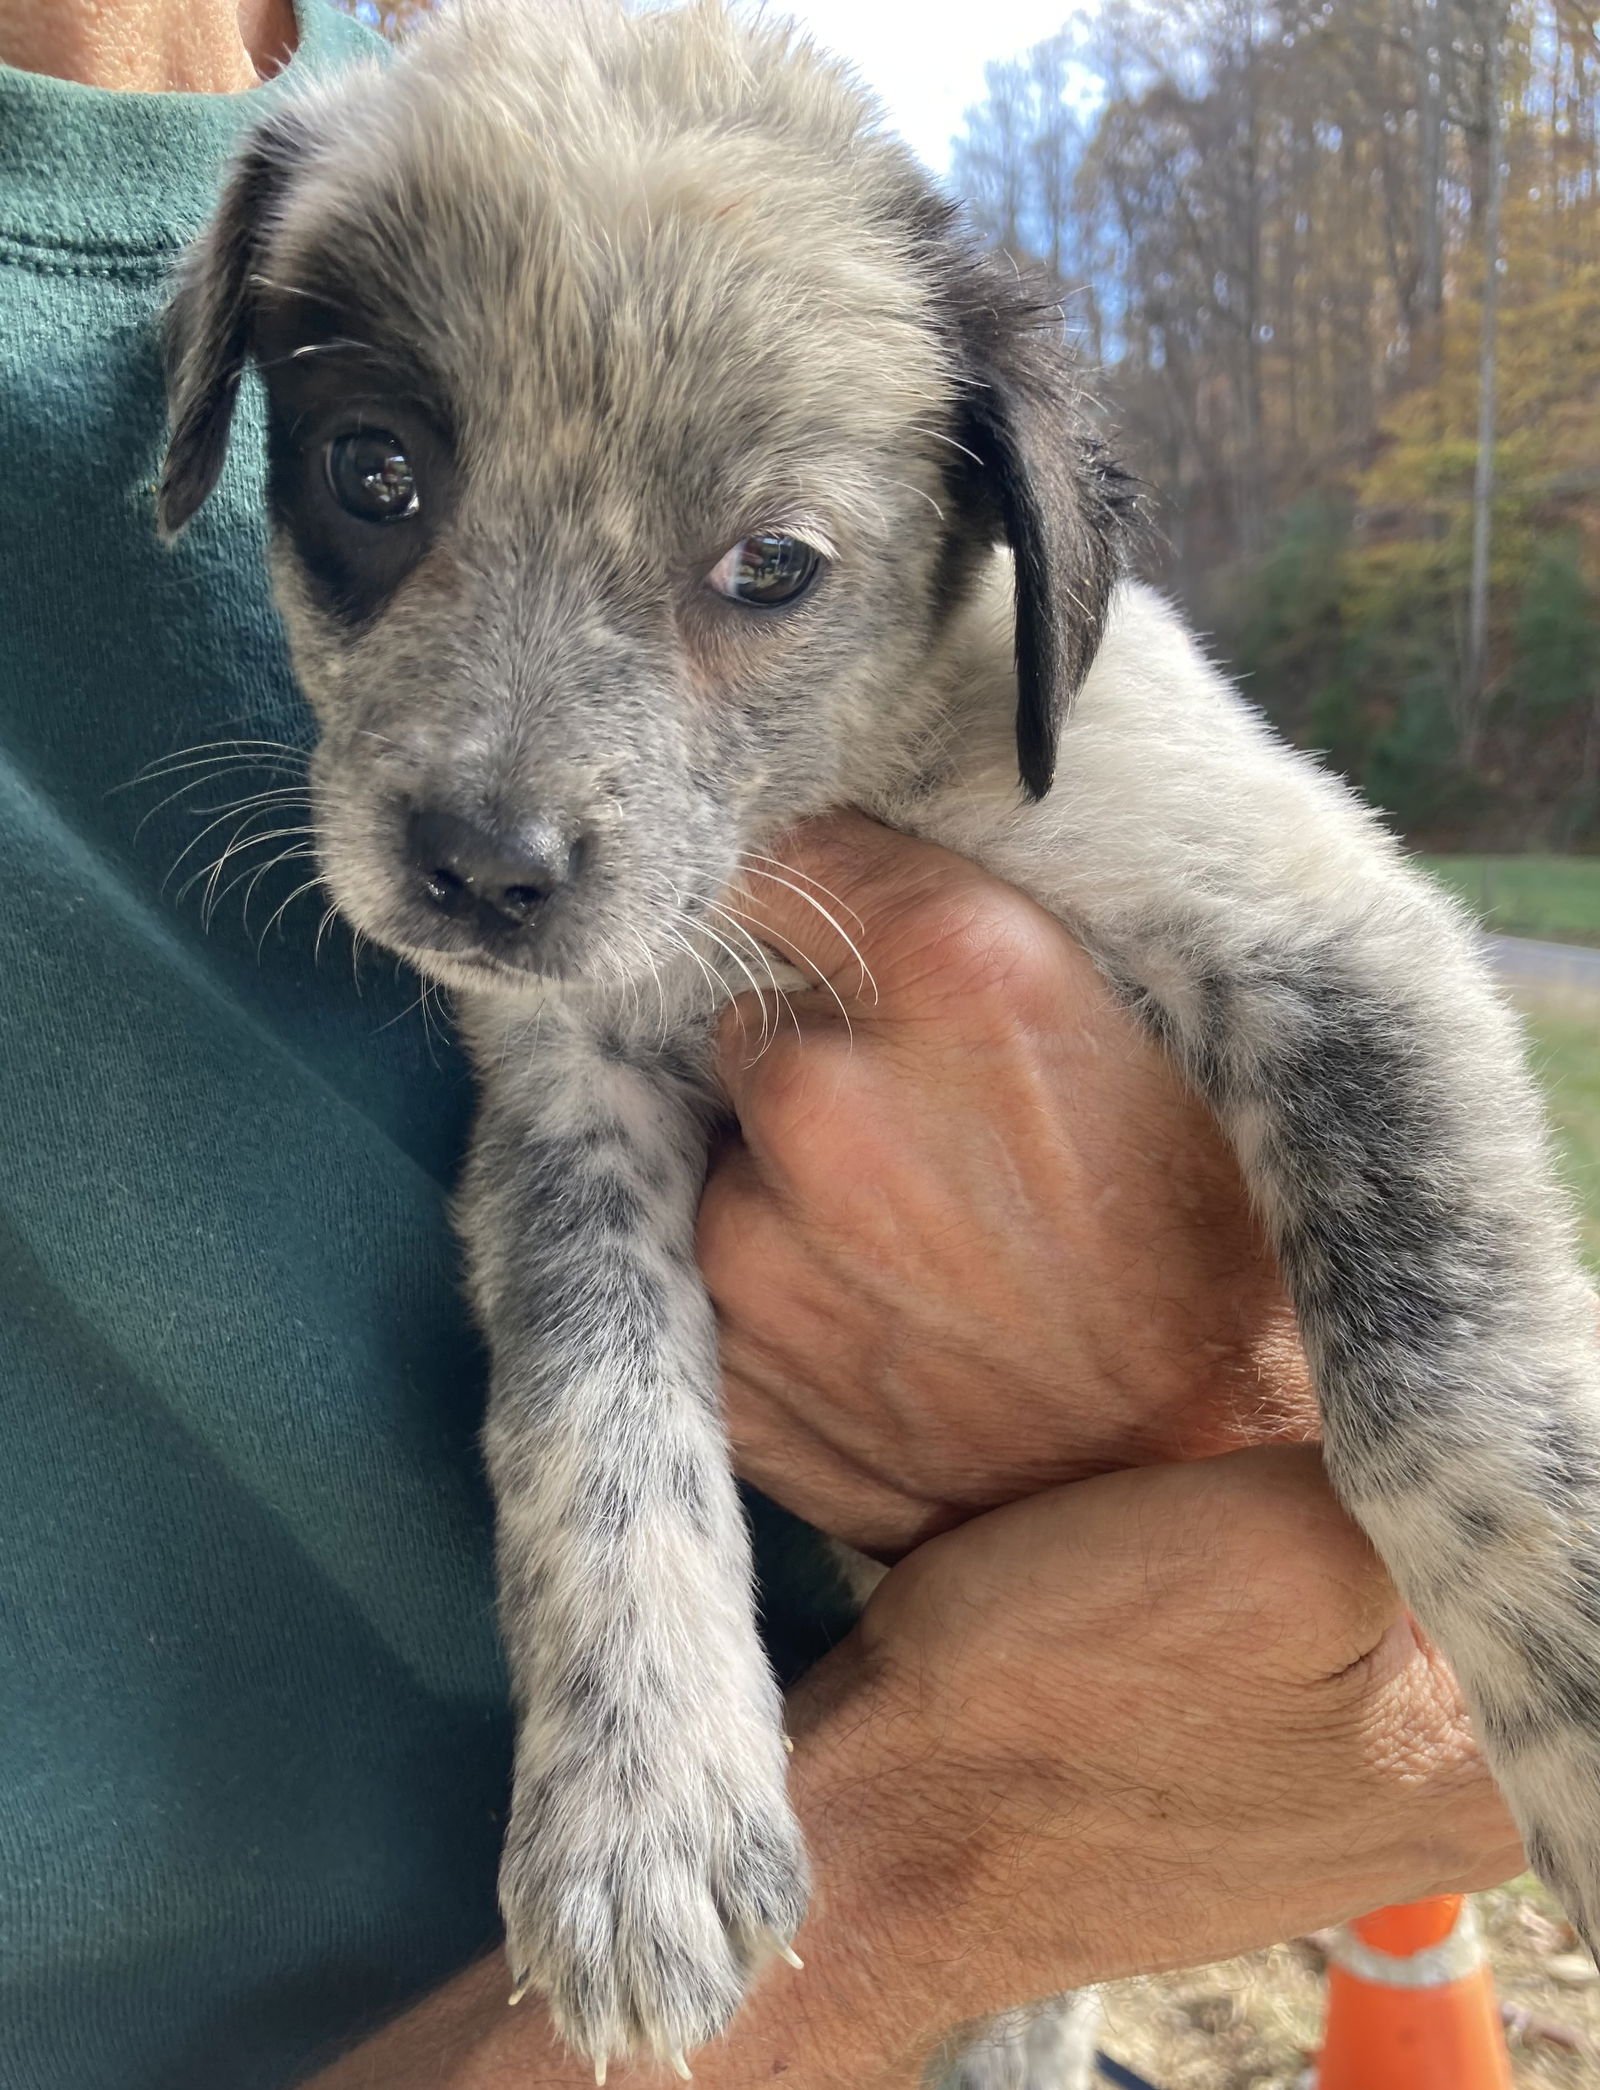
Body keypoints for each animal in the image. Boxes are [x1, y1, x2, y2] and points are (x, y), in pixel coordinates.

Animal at [156, 8, 1600, 2081]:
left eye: (773, 565)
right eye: (375, 471)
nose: (481, 873)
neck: (828, 794)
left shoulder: (1319, 925)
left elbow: (1442, 1386)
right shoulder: (570, 1104)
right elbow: (593, 1421)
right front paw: (643, 1810)